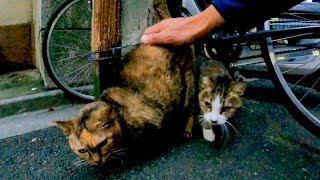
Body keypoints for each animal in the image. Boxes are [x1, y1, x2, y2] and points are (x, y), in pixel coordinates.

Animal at [55, 0, 195, 166]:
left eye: (102, 143)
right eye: (82, 150)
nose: (97, 161)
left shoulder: (156, 120)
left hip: (188, 83)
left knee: (190, 108)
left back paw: (186, 130)